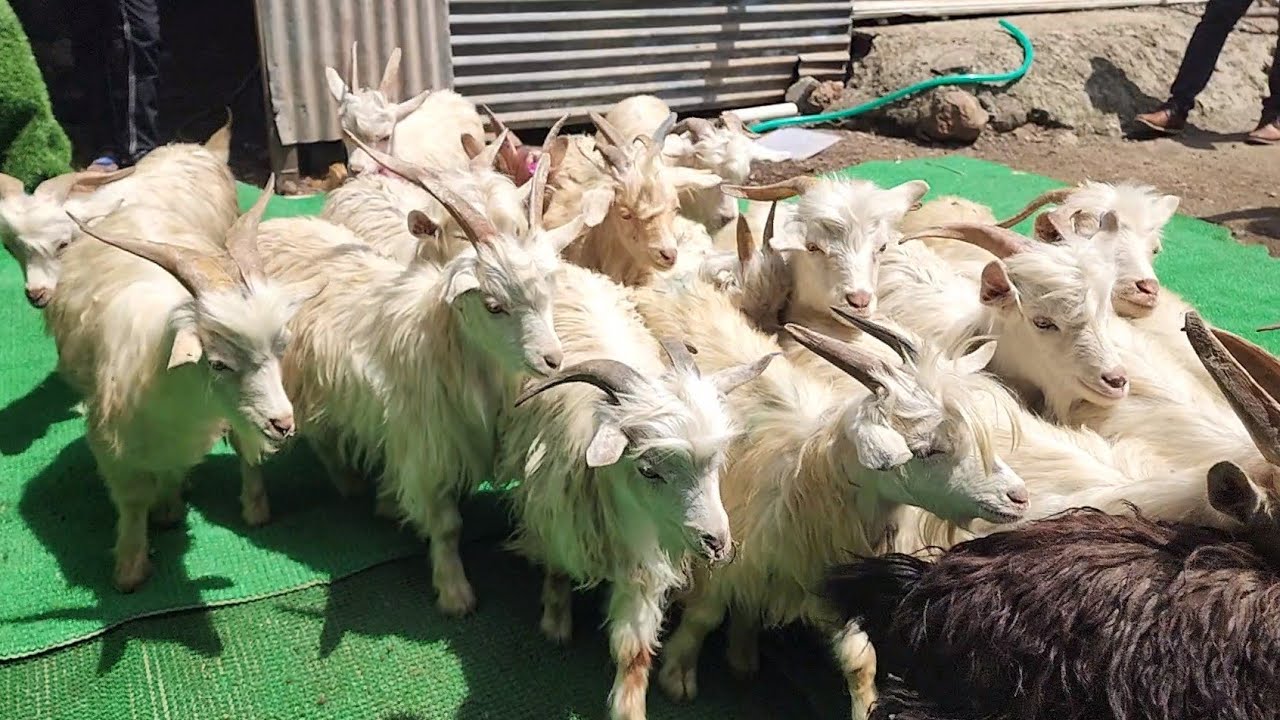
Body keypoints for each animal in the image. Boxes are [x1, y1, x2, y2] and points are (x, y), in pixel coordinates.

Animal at [47, 180, 306, 592]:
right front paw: (130, 570)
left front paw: (170, 508)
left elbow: (183, 464)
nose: (283, 424)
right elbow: (133, 499)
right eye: (218, 363)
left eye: (281, 348)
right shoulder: (113, 443)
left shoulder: (202, 428)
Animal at [259, 137, 582, 616]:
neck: (442, 341)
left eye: (550, 294)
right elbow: (447, 525)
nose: (552, 360)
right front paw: (455, 593)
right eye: (493, 305)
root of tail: (273, 229)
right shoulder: (425, 445)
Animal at [499, 269, 775, 719]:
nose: (717, 543)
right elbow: (556, 566)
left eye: (718, 462)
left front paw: (629, 707)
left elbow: (633, 652)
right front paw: (555, 621)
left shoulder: (645, 565)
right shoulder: (556, 518)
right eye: (648, 469)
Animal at [631, 275, 1027, 720]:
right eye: (926, 450)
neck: (803, 475)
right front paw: (678, 673)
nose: (1018, 497)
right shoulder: (722, 549)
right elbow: (705, 614)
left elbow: (860, 660)